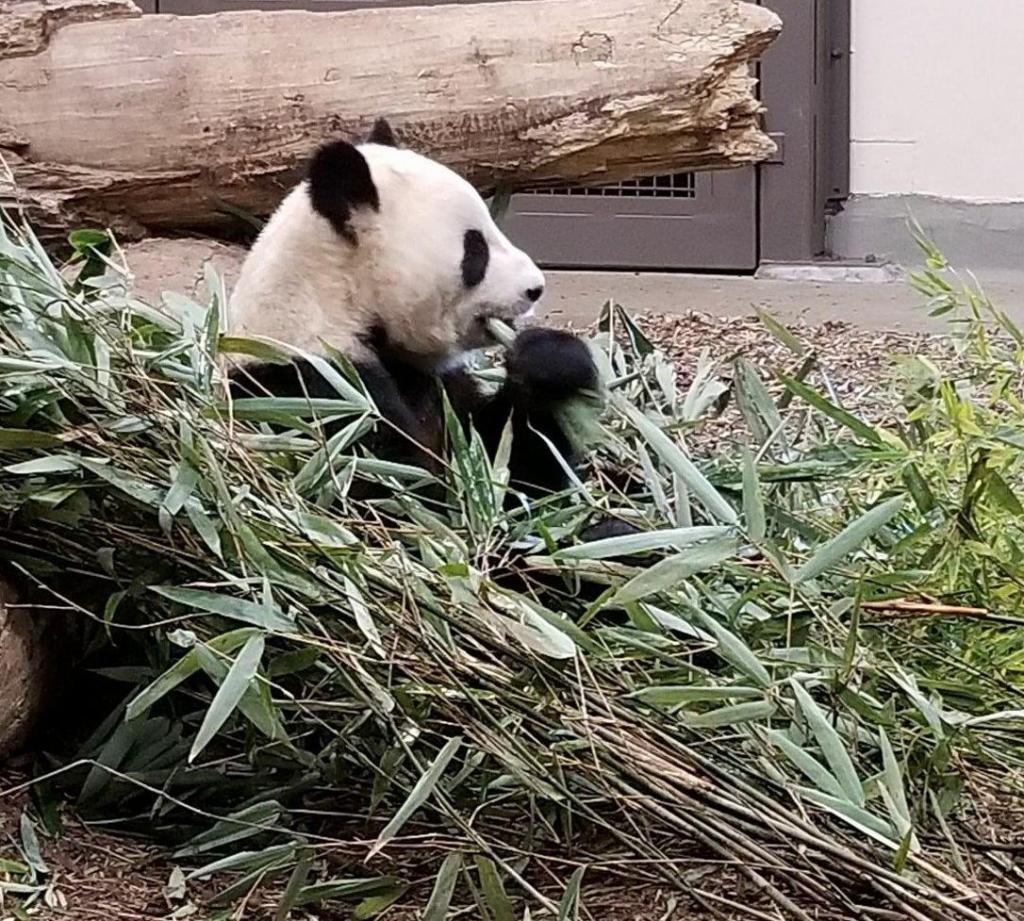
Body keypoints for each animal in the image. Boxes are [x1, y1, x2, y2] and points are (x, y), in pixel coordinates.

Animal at [225, 117, 606, 512]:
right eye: (475, 250)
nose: (535, 288)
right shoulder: (309, 393)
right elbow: (405, 494)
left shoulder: (438, 385)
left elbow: (507, 470)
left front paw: (550, 361)